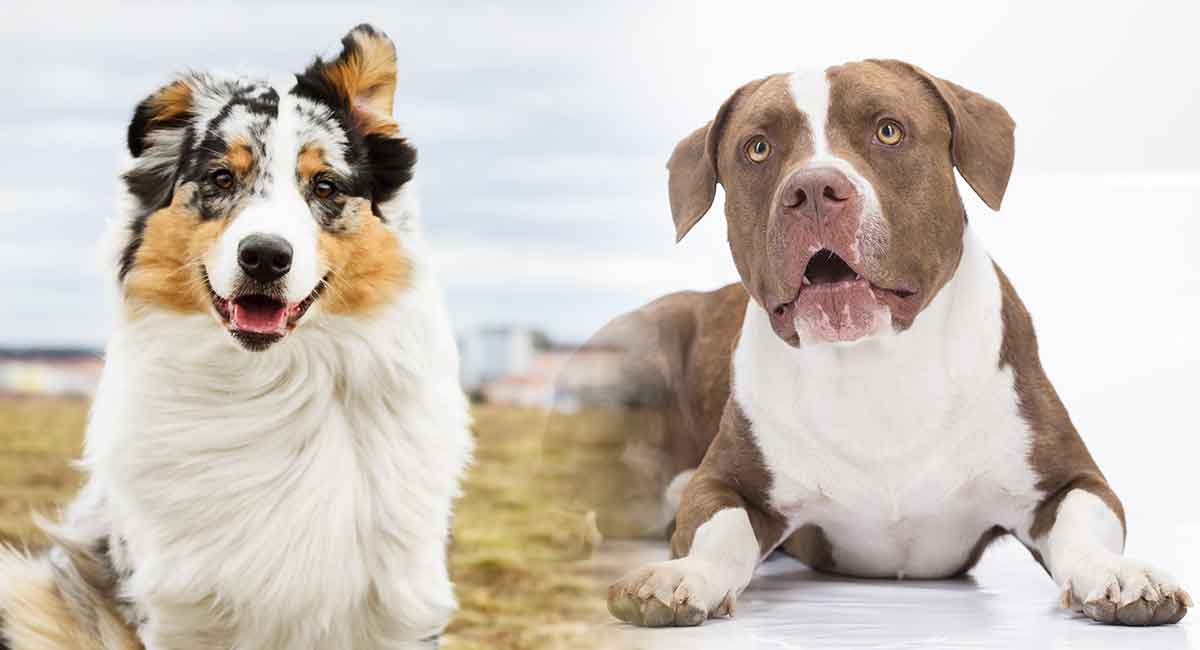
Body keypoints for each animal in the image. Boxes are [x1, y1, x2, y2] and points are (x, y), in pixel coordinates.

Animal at [0, 22, 472, 647]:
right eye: (221, 178)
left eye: (325, 186)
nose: (265, 256)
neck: (273, 384)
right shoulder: (181, 610)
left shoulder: (395, 607)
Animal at [595, 59, 1195, 628]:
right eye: (758, 148)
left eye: (888, 131)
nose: (813, 190)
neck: (875, 363)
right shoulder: (725, 481)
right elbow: (719, 528)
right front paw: (684, 576)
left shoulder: (1067, 479)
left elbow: (1086, 525)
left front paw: (1119, 574)